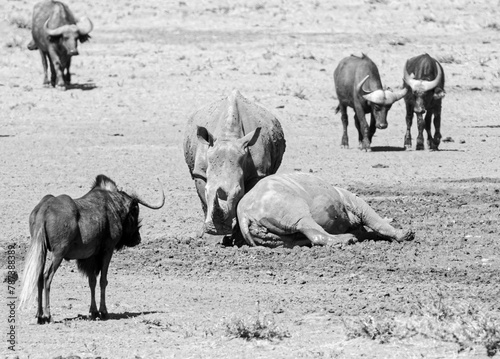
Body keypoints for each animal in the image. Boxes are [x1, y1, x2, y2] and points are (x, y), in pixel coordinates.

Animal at [18, 176, 164, 324]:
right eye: (135, 210)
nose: (137, 239)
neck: (113, 205)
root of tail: (44, 209)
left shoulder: (90, 257)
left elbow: (92, 281)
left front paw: (94, 312)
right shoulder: (107, 250)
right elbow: (103, 280)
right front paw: (103, 312)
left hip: (42, 251)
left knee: (38, 277)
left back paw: (39, 315)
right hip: (58, 253)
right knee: (47, 276)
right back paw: (48, 315)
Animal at [183, 89, 286, 236]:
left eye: (239, 192)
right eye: (207, 190)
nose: (219, 230)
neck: (228, 137)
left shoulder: (257, 174)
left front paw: (237, 235)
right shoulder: (200, 172)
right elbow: (204, 200)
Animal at [237, 174, 414, 248]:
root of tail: (245, 214)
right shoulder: (354, 201)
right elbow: (374, 219)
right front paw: (404, 234)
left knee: (289, 239)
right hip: (280, 201)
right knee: (303, 220)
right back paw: (347, 240)